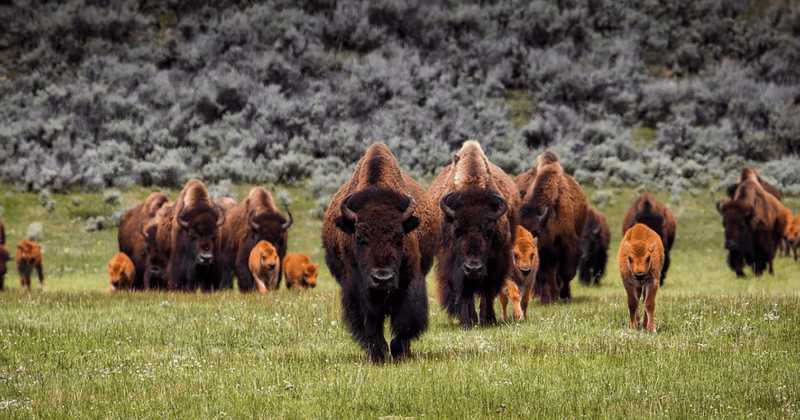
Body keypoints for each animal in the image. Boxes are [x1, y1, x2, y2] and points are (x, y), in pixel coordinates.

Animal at [322, 143, 436, 363]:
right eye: (359, 237)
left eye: (399, 236)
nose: (382, 279)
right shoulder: (357, 287)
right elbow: (370, 323)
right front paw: (377, 355)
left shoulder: (410, 280)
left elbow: (405, 321)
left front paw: (400, 353)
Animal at [429, 141, 520, 328]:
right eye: (457, 230)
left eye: (489, 231)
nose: (473, 268)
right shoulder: (453, 263)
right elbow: (464, 292)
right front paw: (465, 322)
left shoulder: (495, 260)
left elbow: (488, 290)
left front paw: (490, 319)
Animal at [518, 151, 587, 304]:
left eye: (536, 232)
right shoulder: (543, 253)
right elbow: (543, 275)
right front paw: (545, 300)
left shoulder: (568, 245)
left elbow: (566, 273)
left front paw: (565, 296)